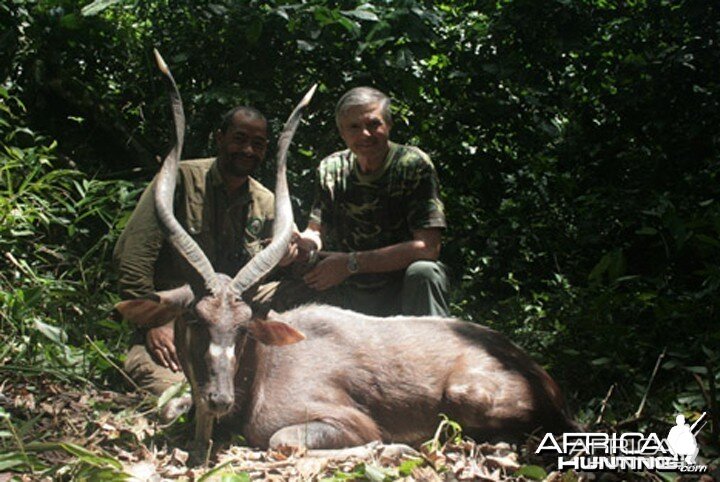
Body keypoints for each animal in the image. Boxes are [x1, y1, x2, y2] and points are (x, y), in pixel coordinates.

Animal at [118, 50, 580, 462]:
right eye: (196, 319)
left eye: (245, 327)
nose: (218, 399)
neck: (264, 368)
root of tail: (544, 380)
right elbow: (169, 407)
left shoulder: (342, 422)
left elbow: (283, 441)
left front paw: (392, 448)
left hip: (467, 396)